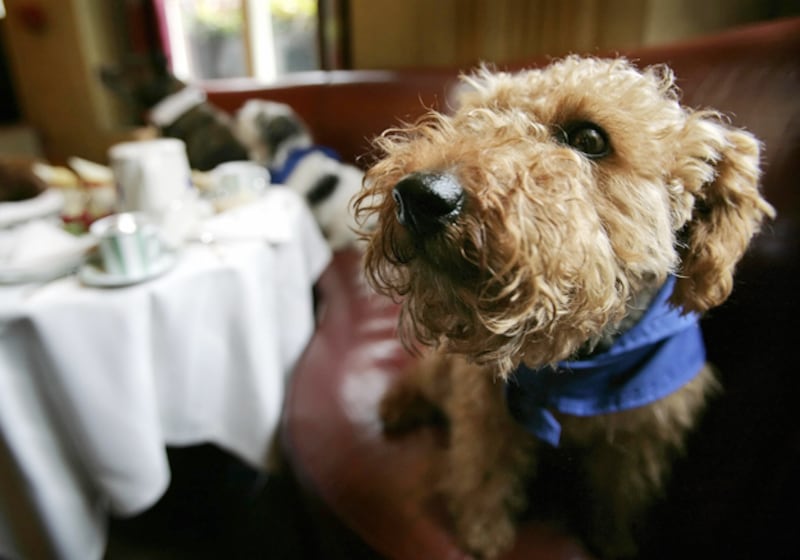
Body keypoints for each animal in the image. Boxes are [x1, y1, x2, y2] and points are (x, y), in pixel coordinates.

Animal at [354, 54, 776, 556]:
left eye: (590, 139)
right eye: (477, 115)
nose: (419, 196)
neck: (575, 362)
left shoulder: (641, 439)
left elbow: (620, 505)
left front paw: (614, 545)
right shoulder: (486, 406)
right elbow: (485, 472)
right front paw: (482, 534)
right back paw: (396, 408)